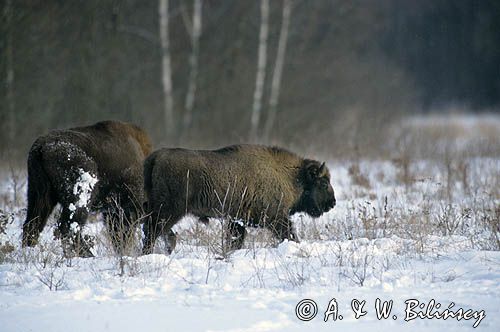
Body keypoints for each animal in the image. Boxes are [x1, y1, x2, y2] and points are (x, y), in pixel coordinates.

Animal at [21, 120, 153, 256]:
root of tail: (42, 147)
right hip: (81, 195)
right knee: (68, 227)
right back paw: (88, 254)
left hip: (38, 194)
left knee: (32, 225)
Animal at [141, 143, 336, 254]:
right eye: (323, 183)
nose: (332, 203)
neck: (291, 176)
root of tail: (155, 157)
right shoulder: (276, 218)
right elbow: (289, 233)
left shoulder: (236, 219)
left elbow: (237, 238)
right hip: (170, 209)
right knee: (153, 229)